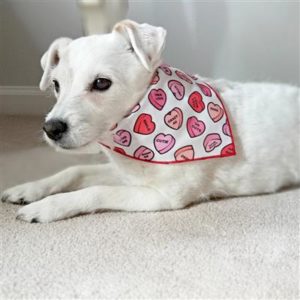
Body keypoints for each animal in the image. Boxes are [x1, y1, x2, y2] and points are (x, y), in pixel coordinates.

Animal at [1, 20, 298, 223]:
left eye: (101, 83)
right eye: (56, 84)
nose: (51, 128)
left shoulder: (162, 195)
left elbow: (95, 191)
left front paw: (47, 207)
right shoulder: (126, 173)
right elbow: (75, 171)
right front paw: (29, 188)